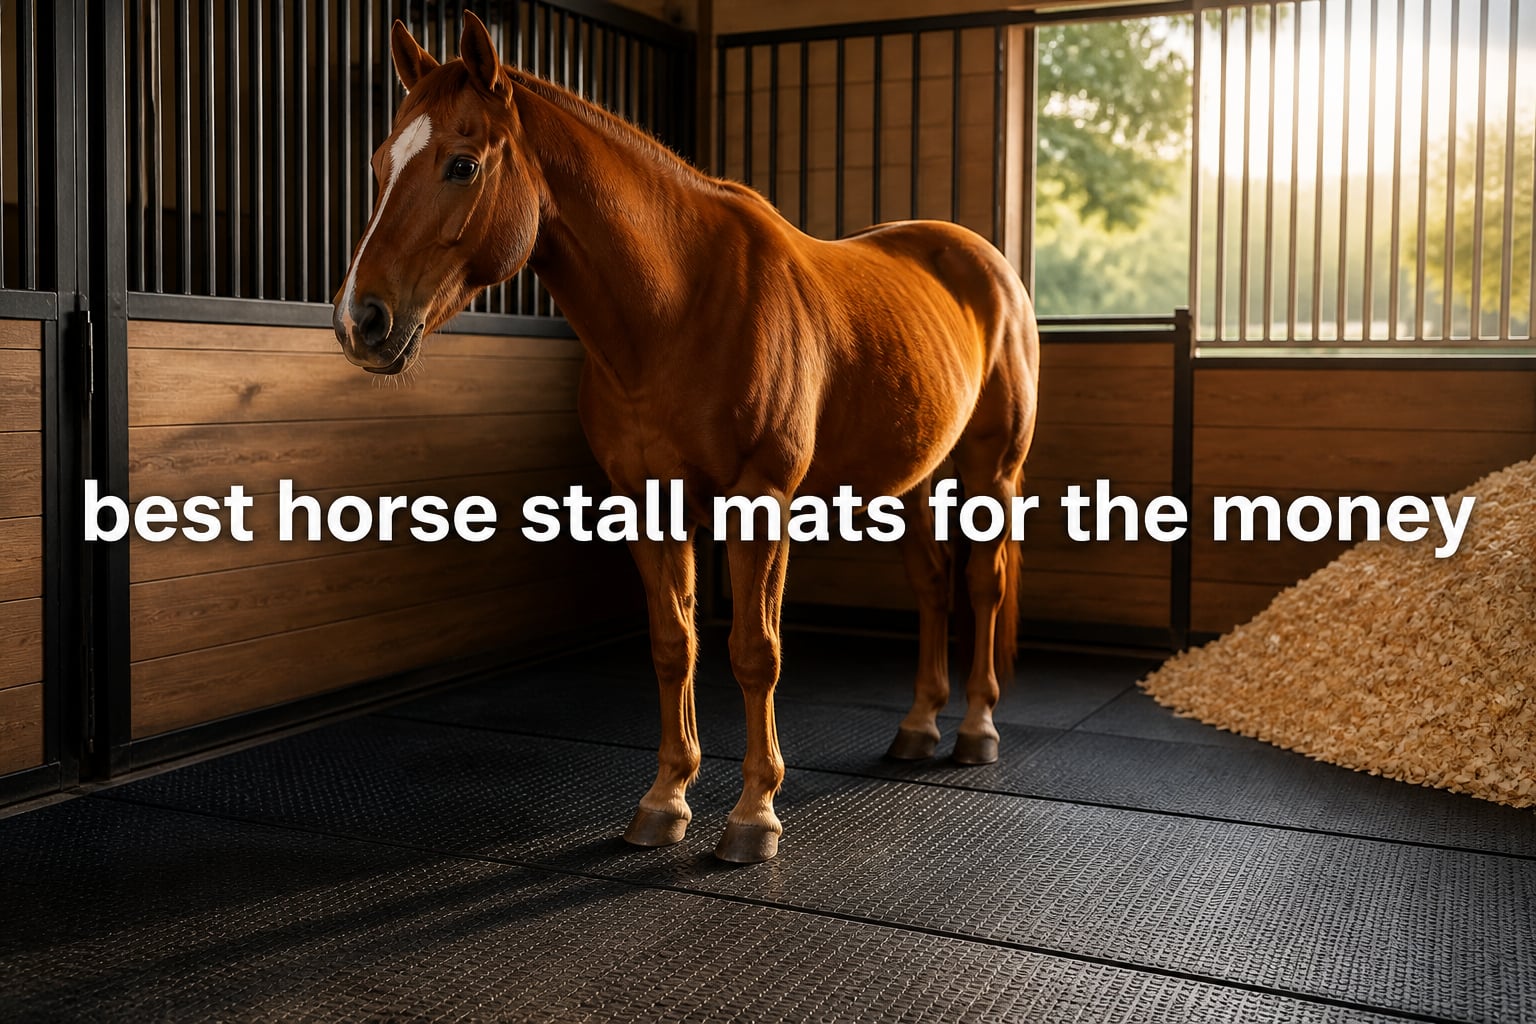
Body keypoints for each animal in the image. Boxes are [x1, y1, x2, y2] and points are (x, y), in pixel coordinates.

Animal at [333, 13, 1039, 864]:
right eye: (380, 163)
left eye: (462, 165)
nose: (360, 322)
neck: (679, 306)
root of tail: (983, 260)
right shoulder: (647, 502)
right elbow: (674, 644)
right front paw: (665, 800)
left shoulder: (760, 501)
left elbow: (755, 652)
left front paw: (754, 815)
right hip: (916, 477)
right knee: (932, 585)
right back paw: (918, 725)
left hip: (991, 468)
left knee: (982, 585)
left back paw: (975, 729)